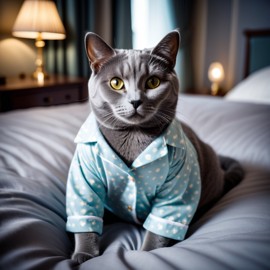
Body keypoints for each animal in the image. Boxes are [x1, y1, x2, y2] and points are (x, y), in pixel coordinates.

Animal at [66, 30, 245, 264]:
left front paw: (146, 255)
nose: (135, 101)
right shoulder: (84, 176)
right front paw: (84, 255)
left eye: (153, 82)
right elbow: (85, 213)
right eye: (116, 83)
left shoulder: (179, 185)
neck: (133, 137)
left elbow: (160, 228)